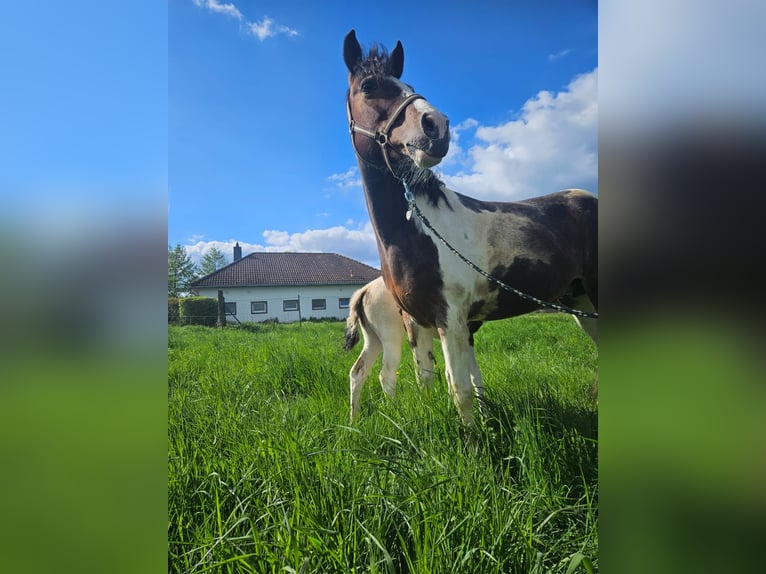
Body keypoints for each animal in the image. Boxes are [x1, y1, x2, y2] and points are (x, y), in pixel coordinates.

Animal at [344, 278, 438, 424]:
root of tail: (365, 290)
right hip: (391, 336)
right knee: (386, 375)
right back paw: (397, 414)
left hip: (373, 340)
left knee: (357, 371)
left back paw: (353, 420)